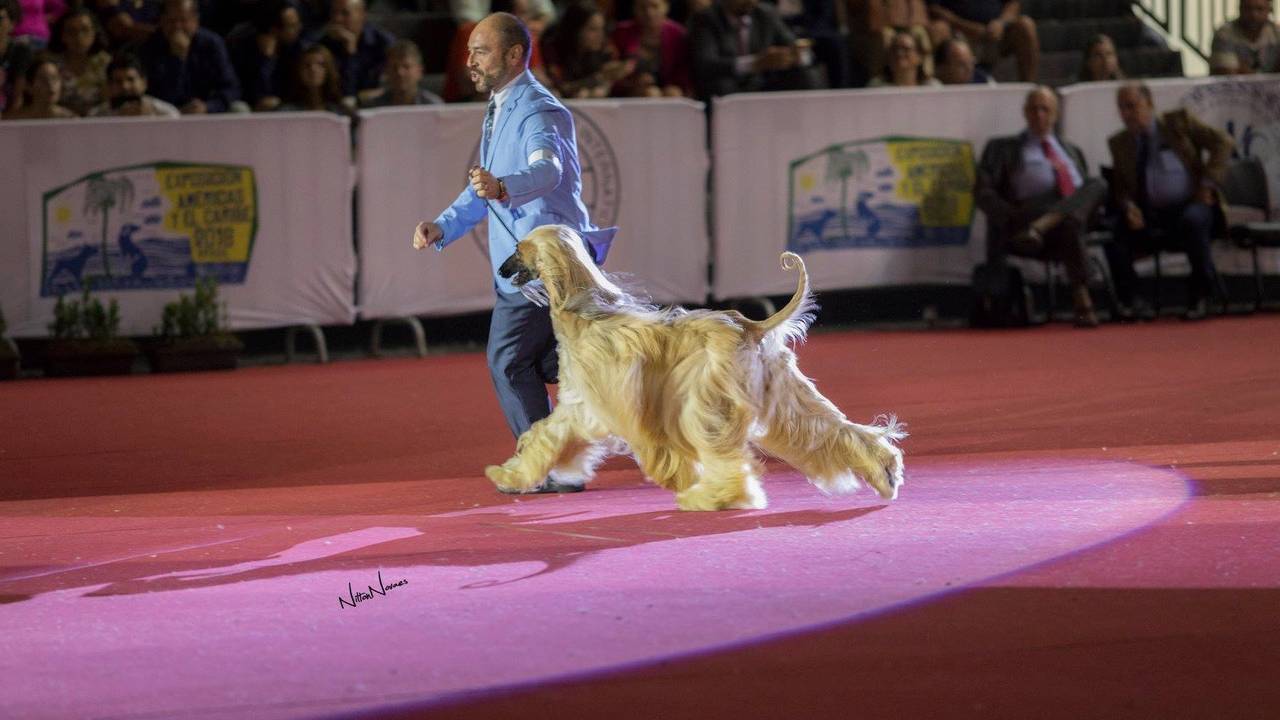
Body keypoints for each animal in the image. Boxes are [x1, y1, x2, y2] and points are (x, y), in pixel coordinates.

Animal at [481, 224, 911, 509]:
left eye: (518, 248)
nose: (500, 270)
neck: (584, 311)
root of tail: (751, 325)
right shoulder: (579, 408)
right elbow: (544, 437)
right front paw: (511, 477)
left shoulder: (618, 405)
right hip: (786, 401)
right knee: (836, 432)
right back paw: (885, 472)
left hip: (709, 404)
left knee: (724, 456)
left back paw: (714, 496)